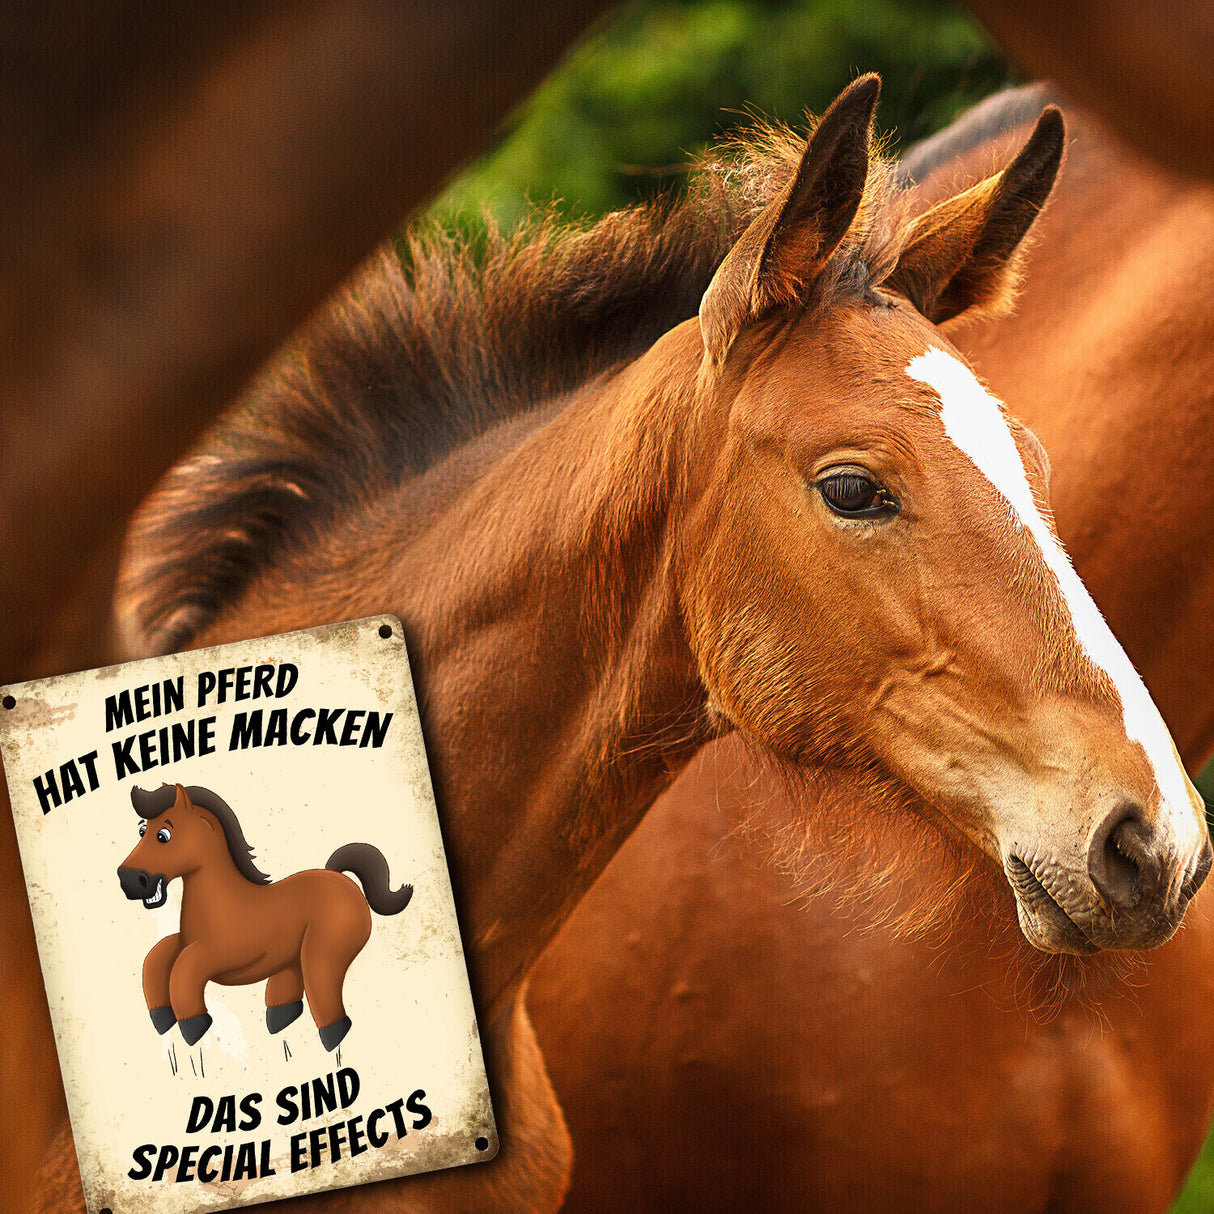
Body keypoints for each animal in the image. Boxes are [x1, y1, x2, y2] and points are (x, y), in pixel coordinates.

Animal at [116, 782, 413, 1051]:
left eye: (163, 835)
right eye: (142, 830)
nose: (129, 880)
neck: (222, 905)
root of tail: (340, 878)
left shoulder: (229, 952)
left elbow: (185, 965)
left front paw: (193, 1025)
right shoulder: (186, 940)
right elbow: (156, 957)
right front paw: (162, 1017)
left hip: (325, 950)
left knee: (322, 984)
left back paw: (330, 1035)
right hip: (296, 953)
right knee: (292, 980)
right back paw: (280, 1017)